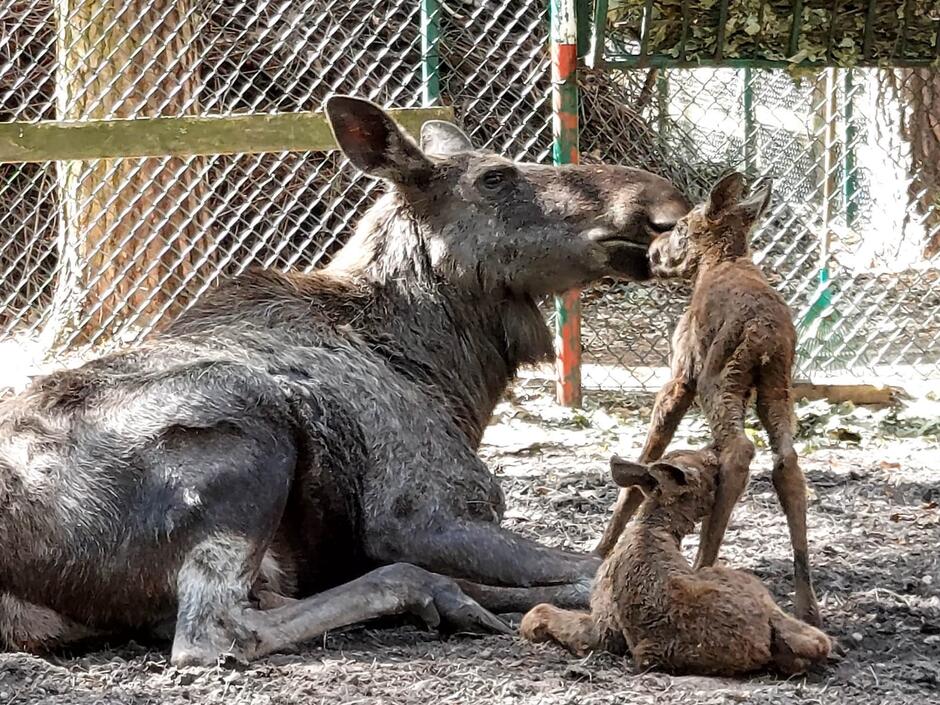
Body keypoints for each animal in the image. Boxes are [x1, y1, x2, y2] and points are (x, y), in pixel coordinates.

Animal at [516, 448, 832, 672]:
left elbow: (546, 613)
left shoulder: (604, 626)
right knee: (816, 641)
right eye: (710, 465)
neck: (653, 526)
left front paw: (529, 627)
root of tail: (760, 641)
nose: (714, 450)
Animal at [596, 173, 824, 624]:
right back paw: (806, 604)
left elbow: (647, 456)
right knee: (787, 462)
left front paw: (601, 548)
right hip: (776, 386)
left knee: (739, 450)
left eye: (681, 227)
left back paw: (703, 563)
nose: (653, 251)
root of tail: (764, 334)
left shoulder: (680, 376)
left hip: (719, 380)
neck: (717, 262)